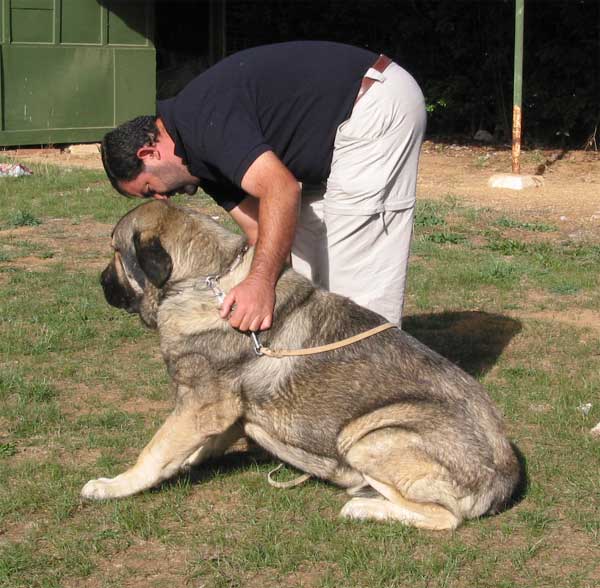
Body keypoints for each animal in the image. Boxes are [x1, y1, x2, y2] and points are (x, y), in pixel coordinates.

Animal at [81, 200, 520, 532]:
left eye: (115, 251)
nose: (99, 283)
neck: (206, 279)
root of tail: (504, 477)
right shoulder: (224, 413)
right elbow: (191, 448)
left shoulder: (202, 405)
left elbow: (154, 452)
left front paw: (114, 485)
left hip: (370, 435)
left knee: (445, 517)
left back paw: (364, 507)